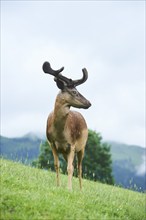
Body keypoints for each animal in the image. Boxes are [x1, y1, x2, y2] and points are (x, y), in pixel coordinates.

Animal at [41, 61, 90, 190]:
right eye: (74, 92)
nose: (89, 103)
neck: (60, 134)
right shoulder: (52, 143)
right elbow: (56, 165)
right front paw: (58, 186)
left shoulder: (72, 144)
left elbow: (69, 168)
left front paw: (69, 189)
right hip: (65, 152)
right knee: (74, 165)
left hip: (82, 147)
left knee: (79, 168)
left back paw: (81, 189)